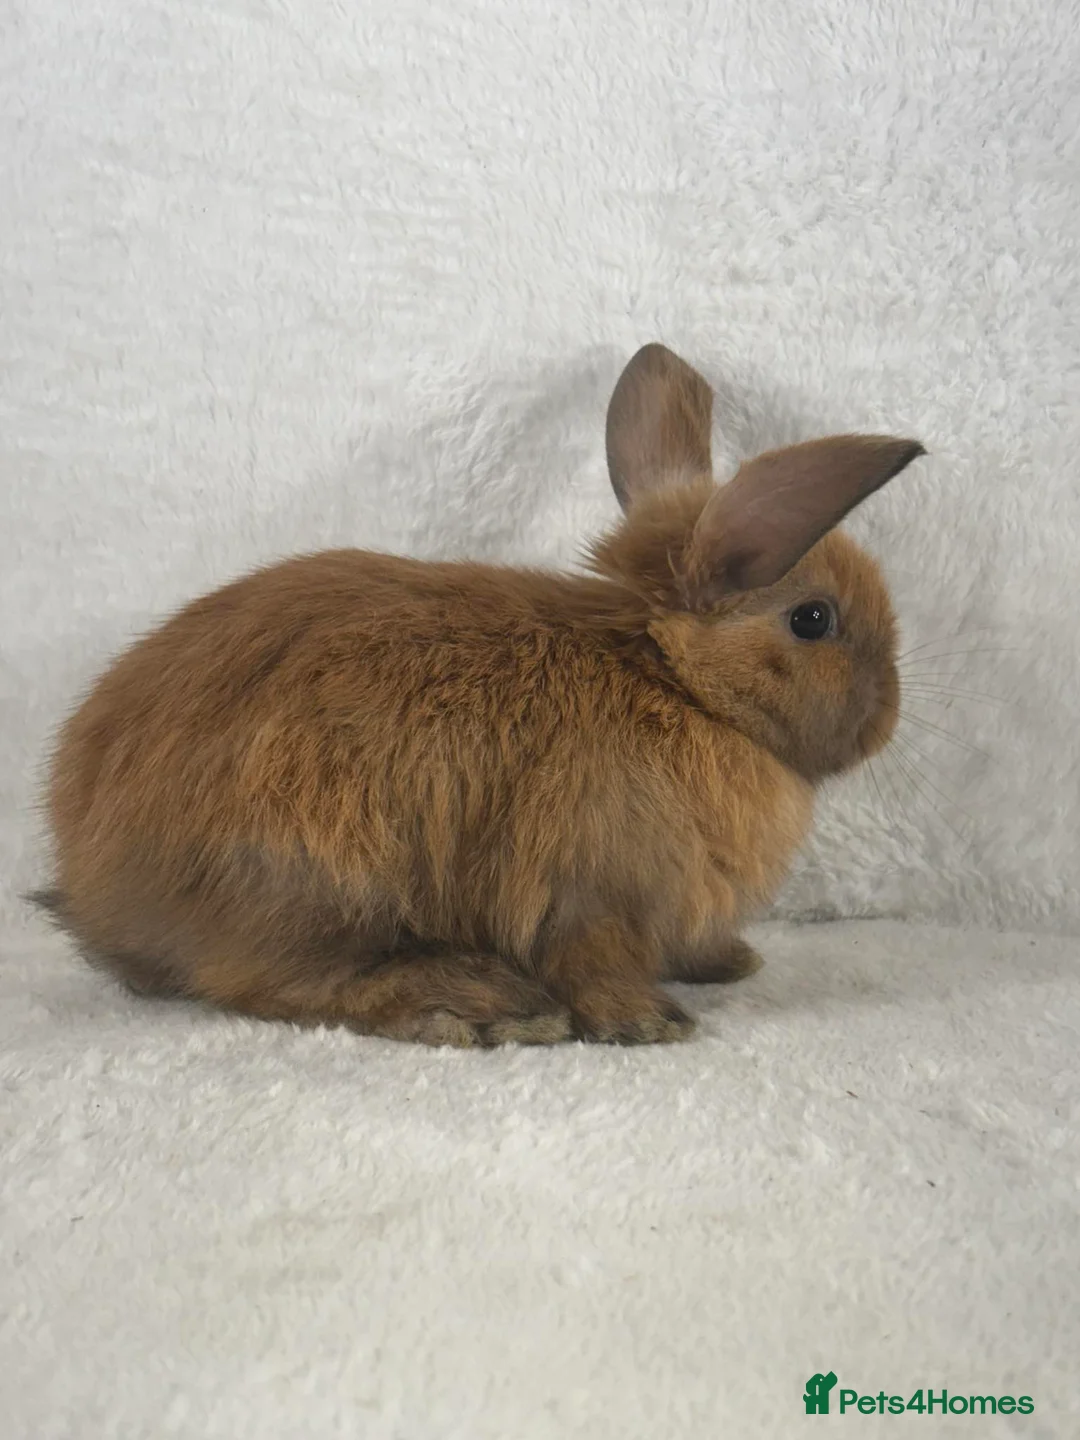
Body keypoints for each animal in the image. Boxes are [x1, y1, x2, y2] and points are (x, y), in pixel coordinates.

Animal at [33, 344, 924, 1047]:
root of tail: (94, 887)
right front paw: (649, 1023)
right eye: (814, 619)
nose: (886, 719)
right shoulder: (588, 889)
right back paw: (480, 1005)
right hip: (318, 877)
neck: (668, 677)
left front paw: (729, 963)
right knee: (273, 982)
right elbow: (592, 962)